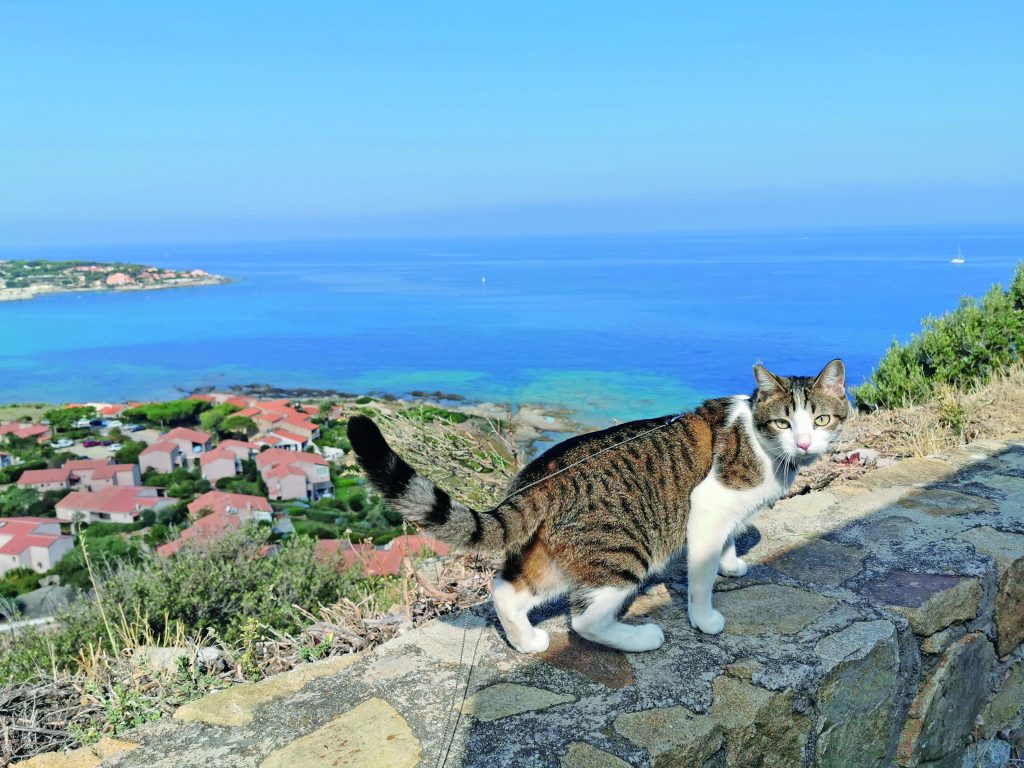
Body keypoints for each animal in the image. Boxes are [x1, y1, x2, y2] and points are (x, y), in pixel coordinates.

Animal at [348, 360, 851, 655]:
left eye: (822, 420)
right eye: (784, 422)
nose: (805, 443)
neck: (764, 447)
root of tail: (546, 473)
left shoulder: (725, 515)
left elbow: (725, 544)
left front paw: (730, 563)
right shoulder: (708, 504)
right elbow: (700, 574)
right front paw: (704, 616)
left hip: (554, 555)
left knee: (504, 589)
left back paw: (526, 641)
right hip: (624, 550)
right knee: (584, 620)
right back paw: (642, 639)